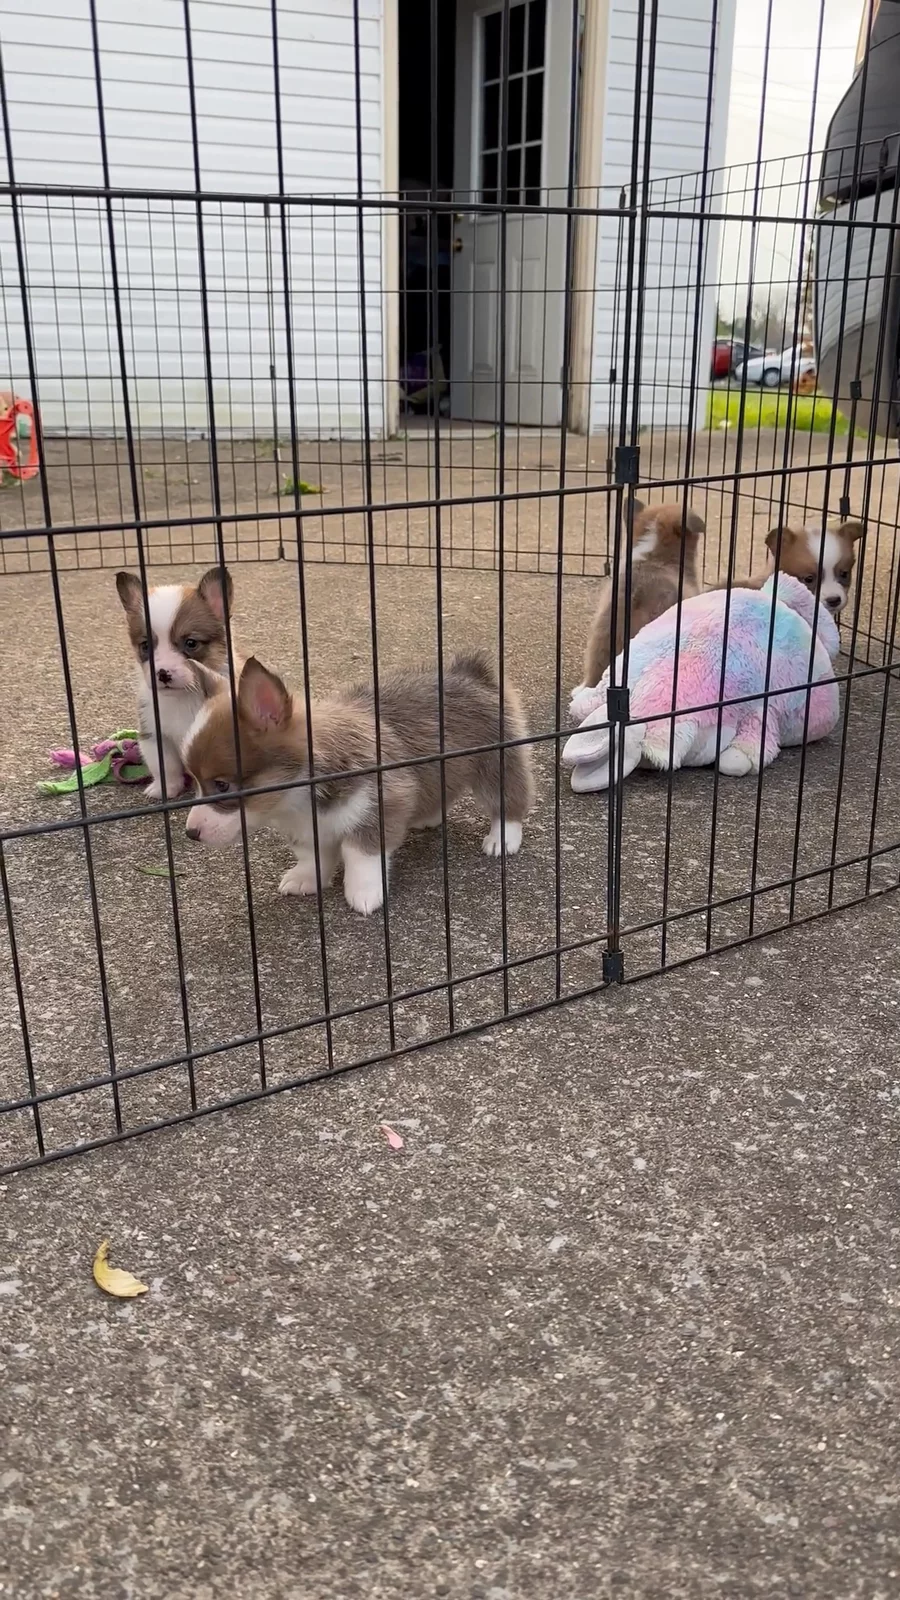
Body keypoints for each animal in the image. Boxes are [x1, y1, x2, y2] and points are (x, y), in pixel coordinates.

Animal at [115, 566, 240, 800]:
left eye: (191, 643)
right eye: (146, 646)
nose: (163, 673)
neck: (184, 696)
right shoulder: (155, 735)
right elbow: (165, 767)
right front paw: (166, 789)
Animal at [182, 651, 535, 916]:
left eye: (222, 786)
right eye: (195, 781)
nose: (190, 834)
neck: (298, 798)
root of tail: (471, 674)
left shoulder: (380, 804)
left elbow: (359, 854)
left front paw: (363, 893)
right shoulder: (304, 829)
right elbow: (311, 856)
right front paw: (306, 879)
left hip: (496, 764)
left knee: (508, 799)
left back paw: (502, 838)